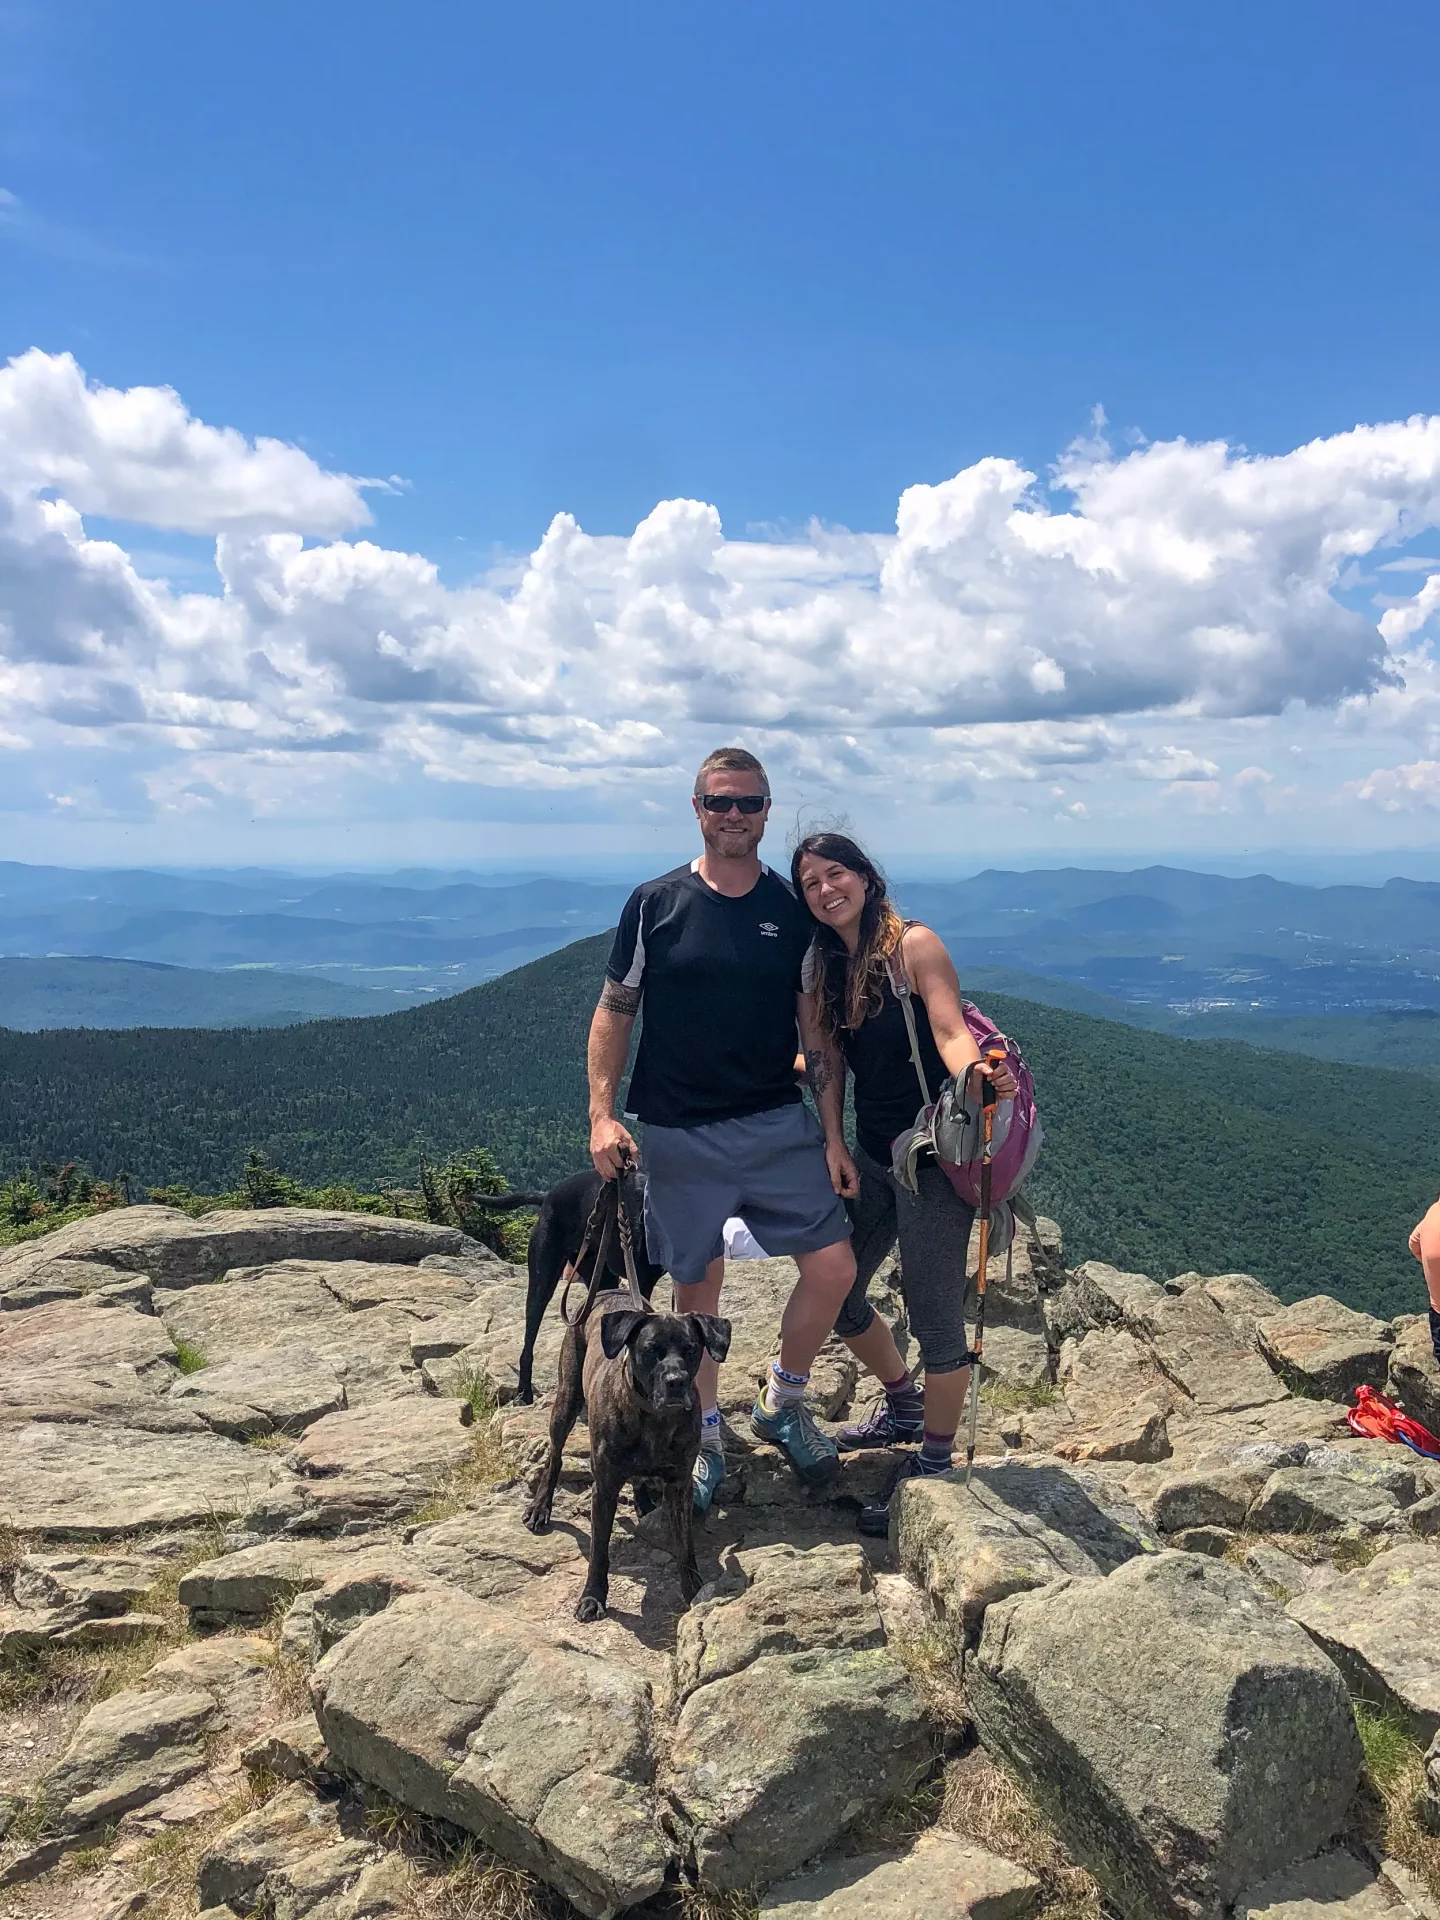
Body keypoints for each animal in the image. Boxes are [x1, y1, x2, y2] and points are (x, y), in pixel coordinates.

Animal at [485, 1159, 664, 1405]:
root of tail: (548, 1196)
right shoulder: (641, 1279)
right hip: (543, 1280)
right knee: (528, 1341)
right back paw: (524, 1392)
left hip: (601, 1277)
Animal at [522, 1290, 733, 1620]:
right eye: (651, 1350)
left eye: (691, 1349)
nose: (676, 1381)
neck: (656, 1419)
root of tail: (609, 1292)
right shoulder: (605, 1488)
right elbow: (598, 1550)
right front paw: (592, 1597)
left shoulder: (680, 1486)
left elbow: (685, 1546)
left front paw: (694, 1592)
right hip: (566, 1400)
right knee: (555, 1456)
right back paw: (541, 1507)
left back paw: (643, 1502)